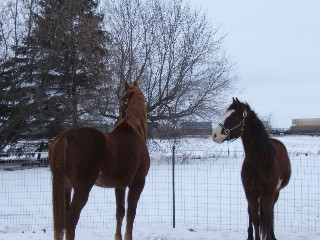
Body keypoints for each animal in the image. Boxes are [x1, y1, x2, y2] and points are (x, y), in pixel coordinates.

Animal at [49, 81, 151, 239]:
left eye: (123, 99)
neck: (133, 130)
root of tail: (65, 137)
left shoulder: (120, 185)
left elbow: (120, 212)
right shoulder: (138, 183)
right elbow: (131, 213)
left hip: (65, 185)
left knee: (62, 218)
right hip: (82, 188)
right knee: (71, 218)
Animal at [212, 97, 290, 240]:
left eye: (234, 116)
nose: (214, 135)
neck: (259, 162)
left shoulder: (268, 194)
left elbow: (267, 219)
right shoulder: (250, 193)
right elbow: (255, 219)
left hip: (274, 193)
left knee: (270, 214)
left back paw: (273, 235)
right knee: (252, 214)